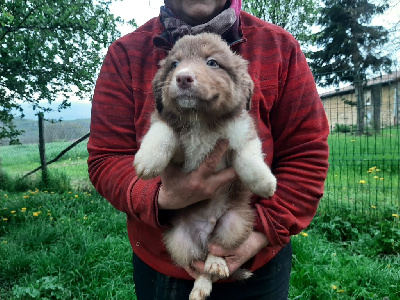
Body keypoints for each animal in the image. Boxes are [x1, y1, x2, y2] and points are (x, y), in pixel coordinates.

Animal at [133, 32, 276, 300]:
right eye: (174, 64)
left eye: (212, 63)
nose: (183, 77)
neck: (200, 120)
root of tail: (204, 231)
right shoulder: (169, 128)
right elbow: (163, 132)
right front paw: (148, 159)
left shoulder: (241, 132)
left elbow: (249, 156)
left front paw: (265, 182)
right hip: (177, 241)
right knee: (197, 264)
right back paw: (200, 286)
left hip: (234, 224)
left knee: (215, 251)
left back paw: (214, 267)